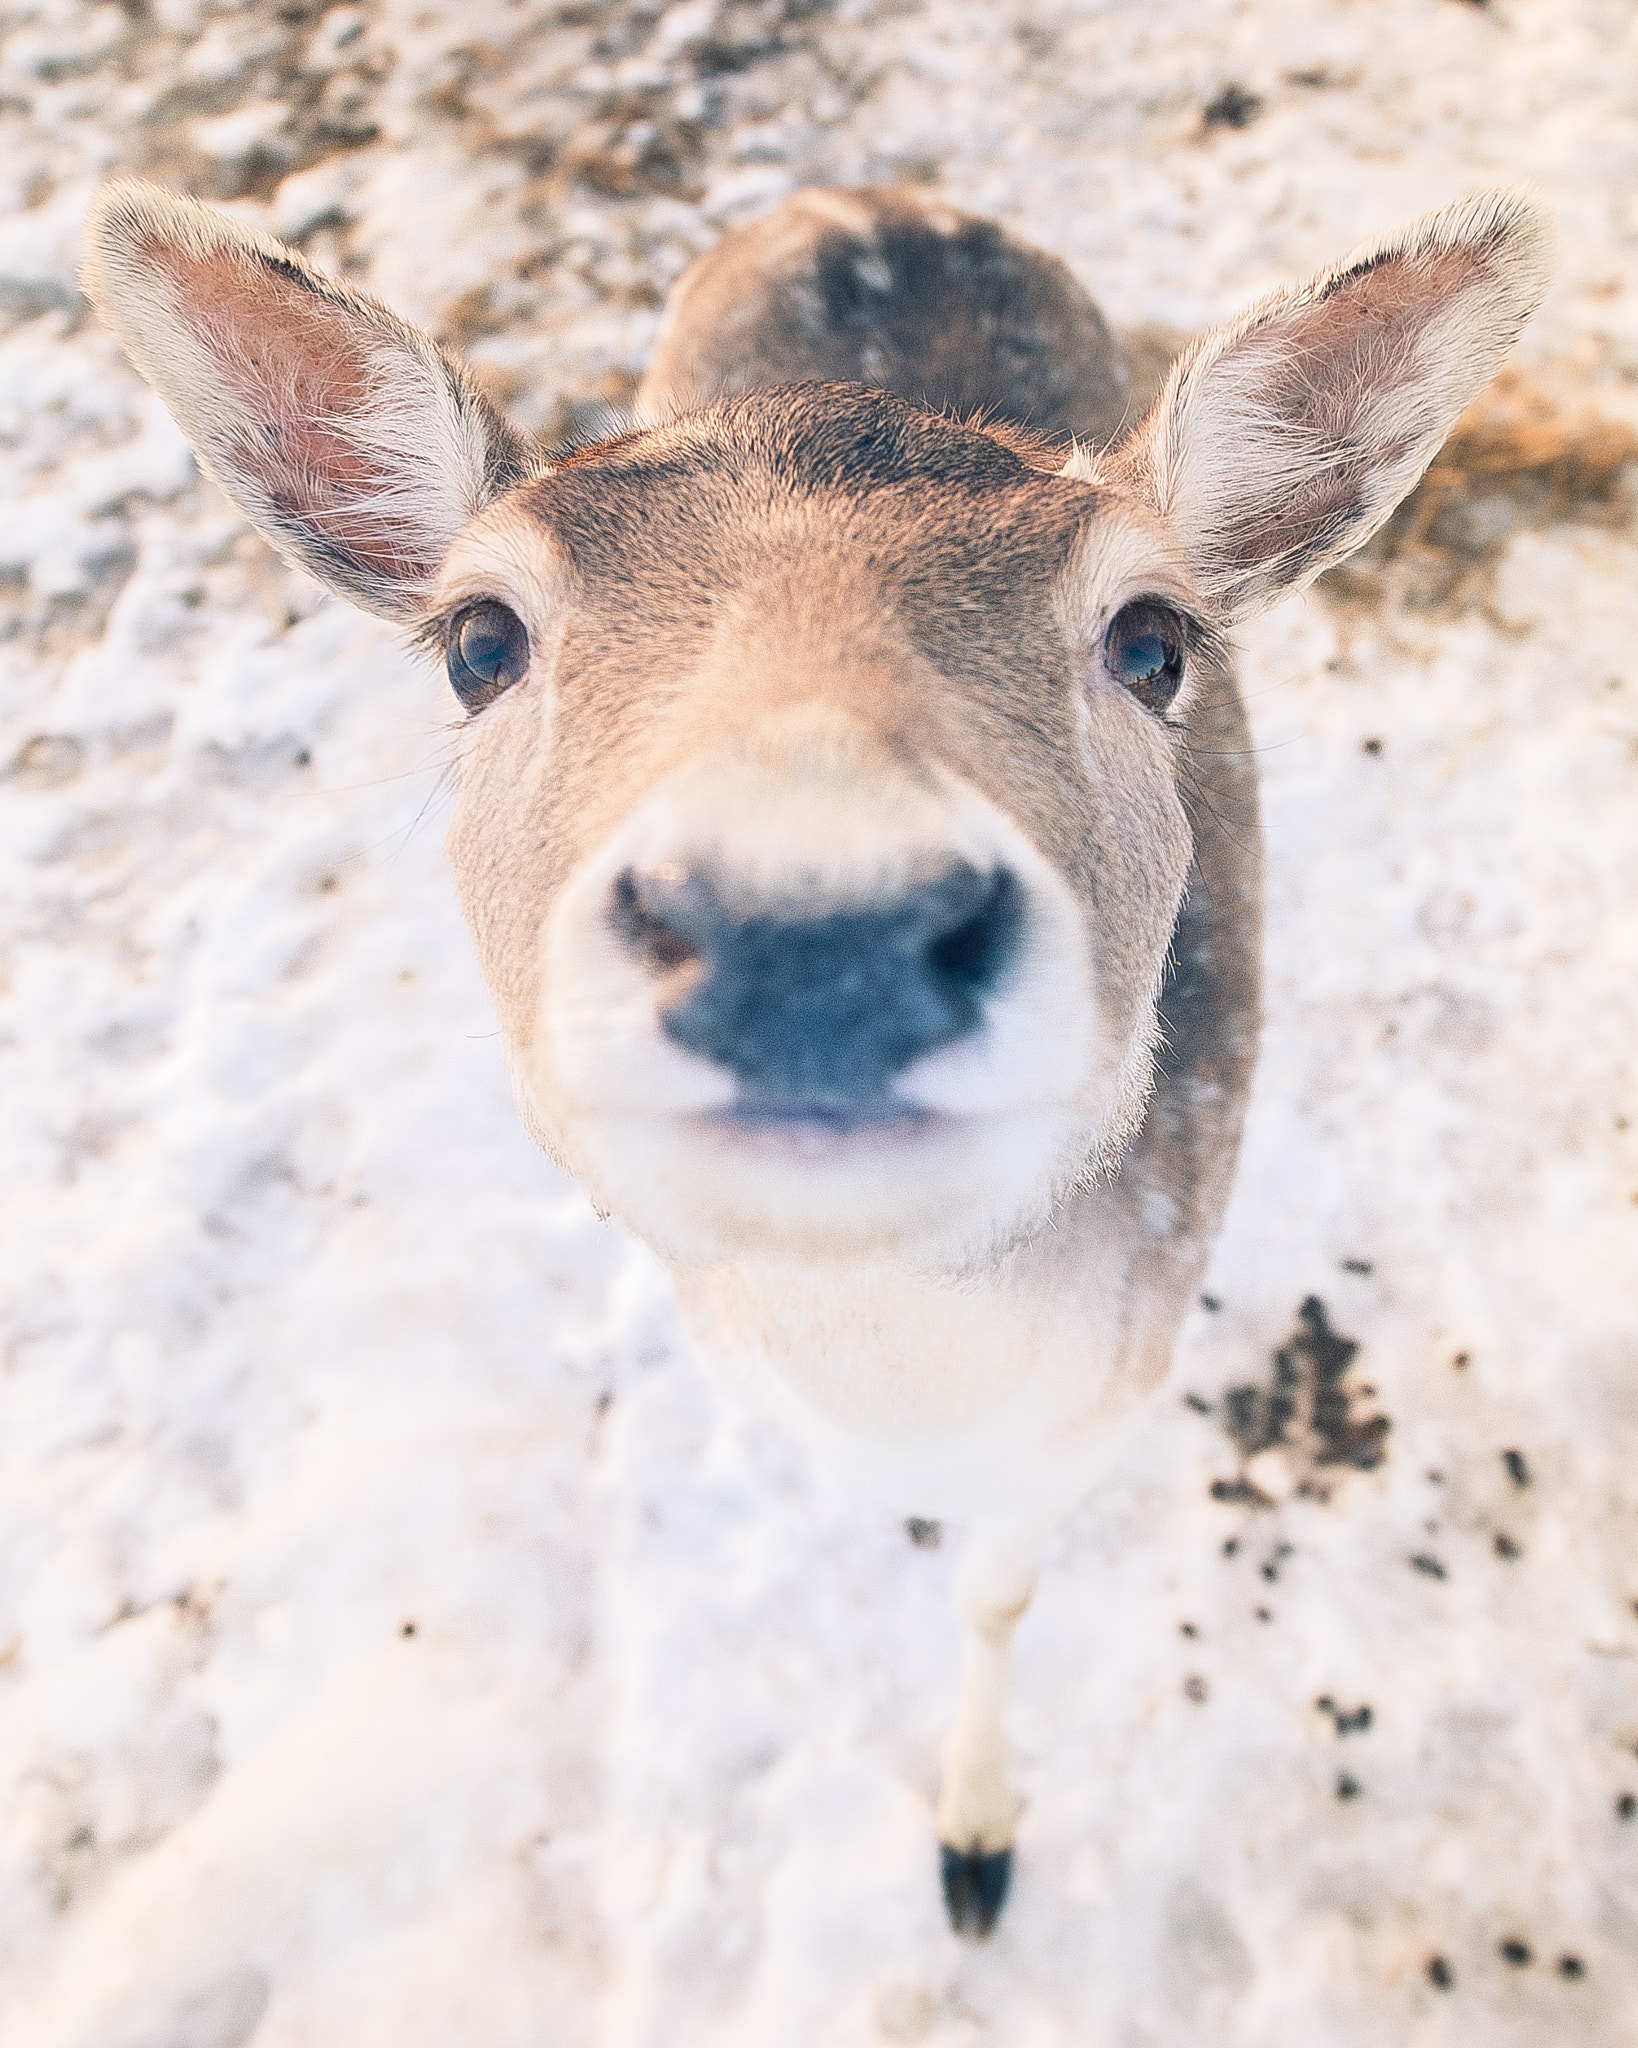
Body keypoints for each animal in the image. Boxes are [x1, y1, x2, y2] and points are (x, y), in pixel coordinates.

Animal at [82, 177, 1552, 1938]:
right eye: (477, 641)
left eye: (1151, 640)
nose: (812, 939)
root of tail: (873, 194)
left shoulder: (1115, 1385)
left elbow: (998, 1595)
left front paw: (976, 1849)